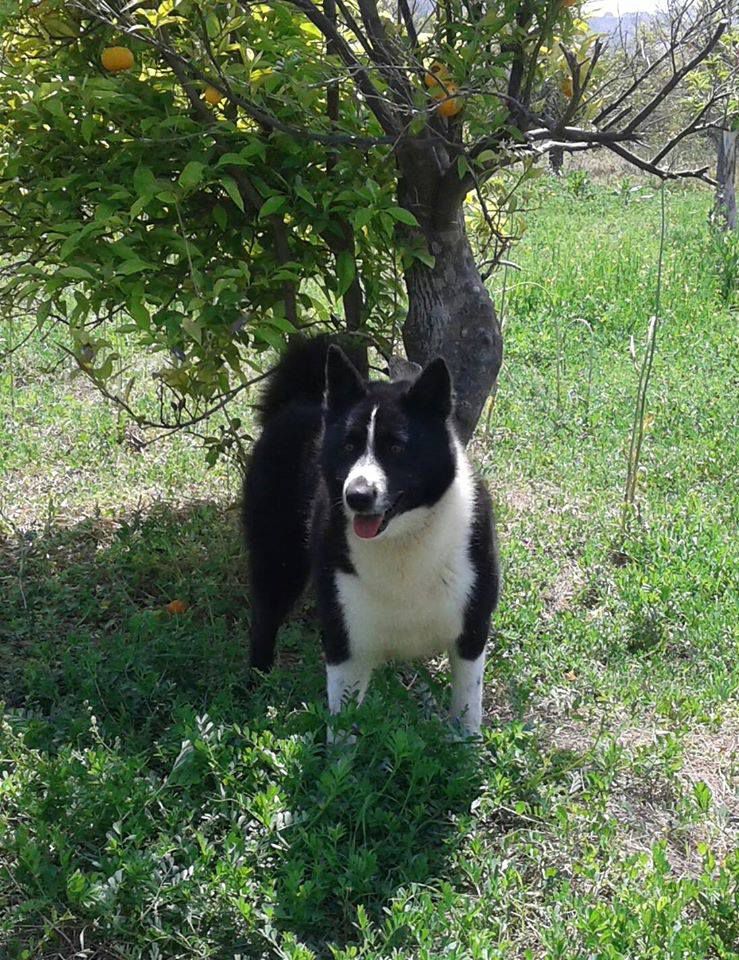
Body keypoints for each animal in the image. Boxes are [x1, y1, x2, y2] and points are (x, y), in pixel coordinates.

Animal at [246, 338, 500, 736]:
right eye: (349, 446)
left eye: (396, 447)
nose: (358, 495)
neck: (403, 539)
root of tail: (297, 400)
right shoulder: (344, 641)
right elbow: (343, 728)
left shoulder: (472, 632)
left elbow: (466, 710)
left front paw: (467, 749)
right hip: (277, 561)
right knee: (264, 620)